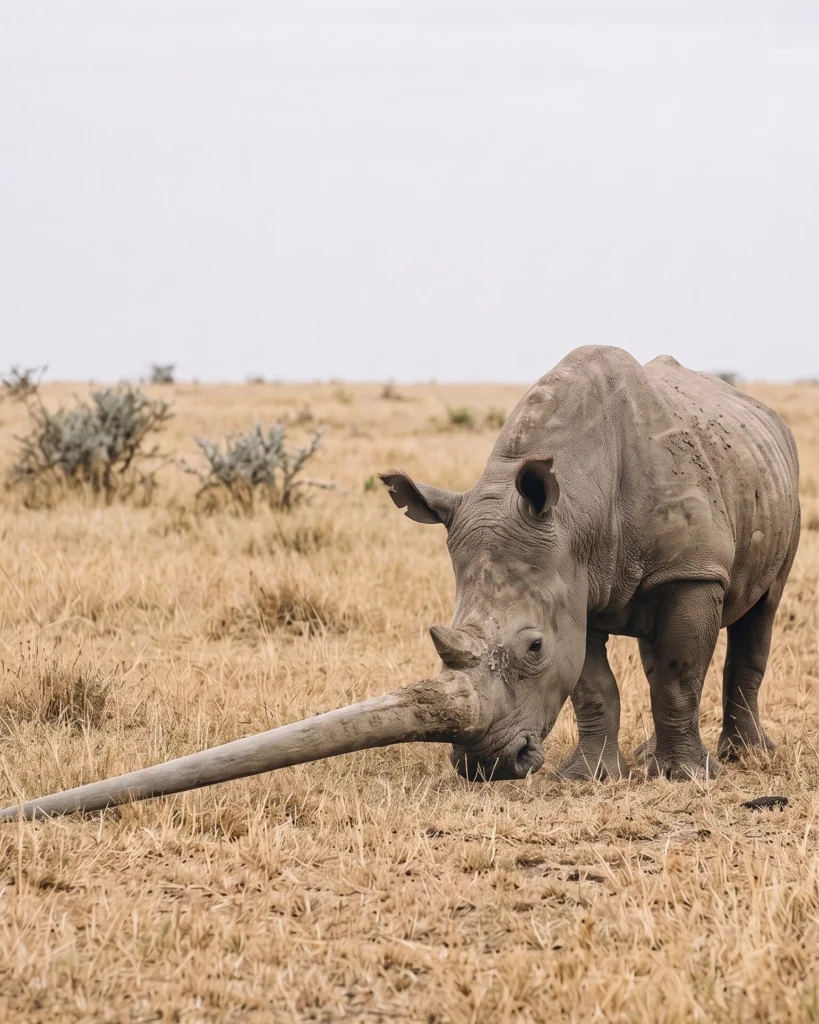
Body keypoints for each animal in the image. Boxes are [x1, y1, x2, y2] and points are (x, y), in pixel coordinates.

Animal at [0, 346, 800, 821]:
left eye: (530, 648)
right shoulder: (574, 581)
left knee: (757, 617)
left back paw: (741, 759)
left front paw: (683, 781)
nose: (486, 766)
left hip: (774, 471)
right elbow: (593, 680)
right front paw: (588, 779)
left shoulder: (687, 570)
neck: (575, 512)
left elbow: (674, 672)